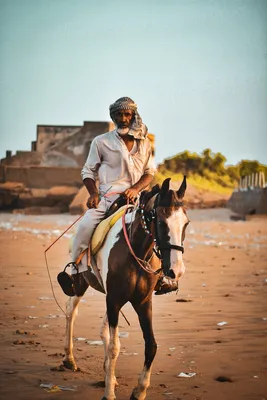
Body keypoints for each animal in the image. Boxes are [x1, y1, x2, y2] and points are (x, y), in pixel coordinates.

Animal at [62, 178, 189, 400]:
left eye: (186, 223)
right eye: (161, 222)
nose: (177, 270)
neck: (136, 251)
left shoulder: (142, 302)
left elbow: (151, 345)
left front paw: (139, 390)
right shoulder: (113, 300)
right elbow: (115, 347)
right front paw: (109, 394)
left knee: (103, 330)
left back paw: (109, 376)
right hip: (80, 283)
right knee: (71, 311)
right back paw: (70, 359)